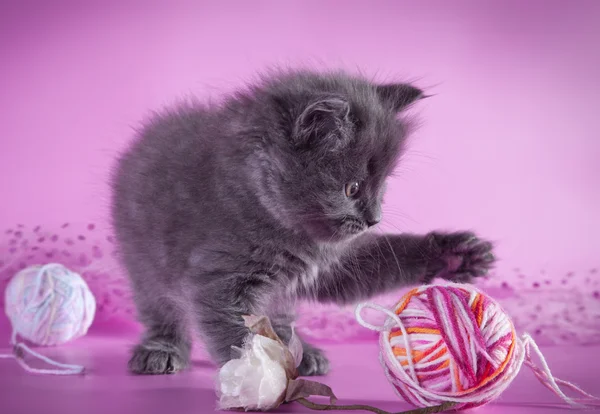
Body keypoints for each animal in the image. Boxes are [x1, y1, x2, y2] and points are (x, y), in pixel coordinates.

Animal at [110, 69, 494, 376]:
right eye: (352, 188)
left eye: (381, 187)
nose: (374, 219)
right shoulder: (217, 280)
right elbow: (239, 335)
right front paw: (263, 380)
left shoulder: (336, 264)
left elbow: (385, 261)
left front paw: (456, 253)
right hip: (143, 262)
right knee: (161, 309)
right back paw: (160, 349)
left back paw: (301, 351)